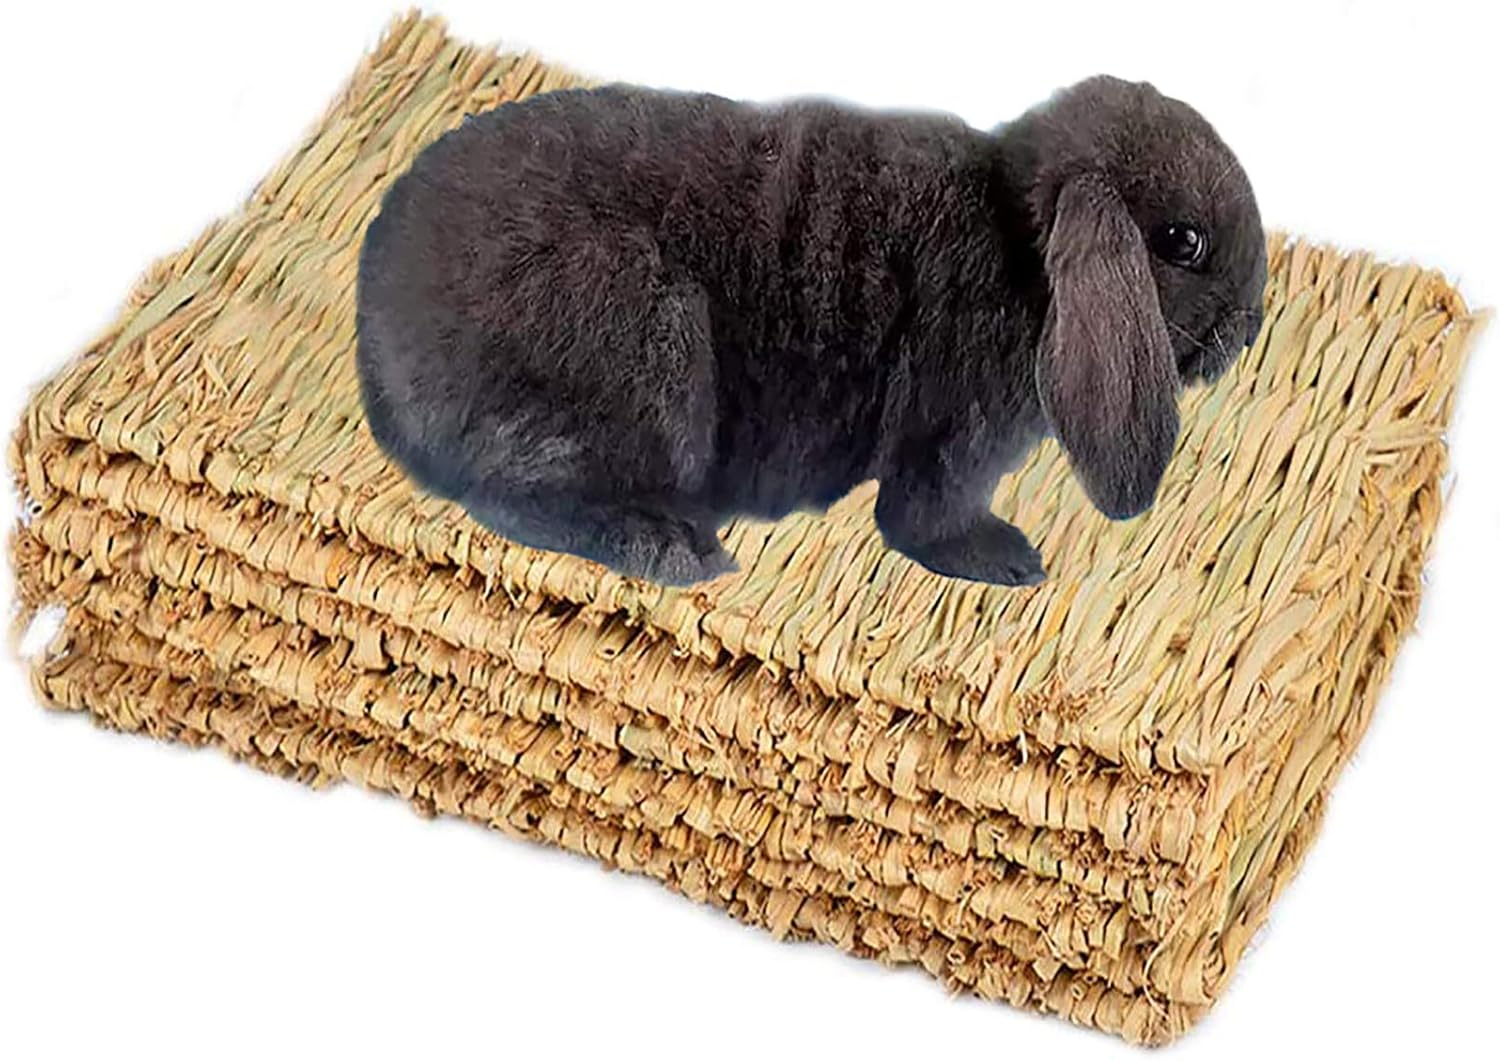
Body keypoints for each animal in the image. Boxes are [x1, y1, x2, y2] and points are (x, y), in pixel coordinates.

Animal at [355, 74, 1267, 587]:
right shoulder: (954, 433)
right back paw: (676, 550)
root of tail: (379, 336)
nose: (1251, 326)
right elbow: (925, 516)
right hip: (644, 350)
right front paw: (1010, 561)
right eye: (1182, 241)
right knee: (510, 496)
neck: (1020, 243)